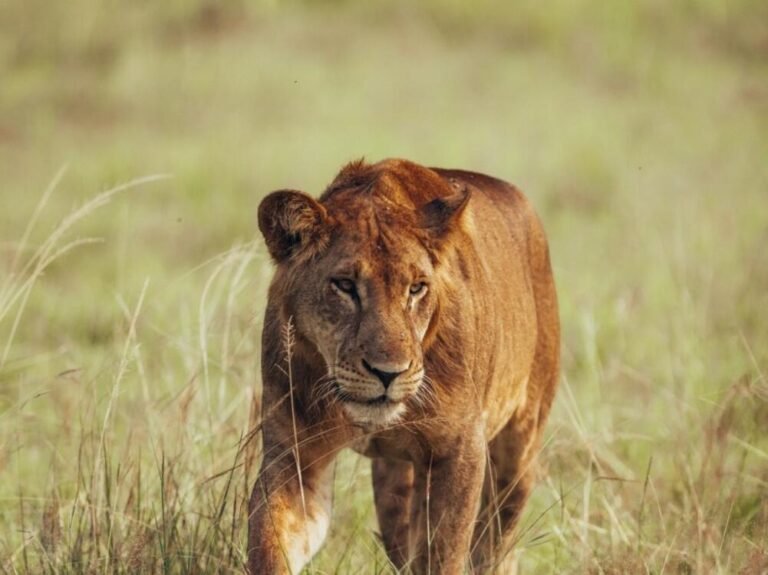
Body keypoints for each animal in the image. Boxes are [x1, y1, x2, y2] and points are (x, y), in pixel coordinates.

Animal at [248, 158, 559, 574]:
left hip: (519, 449)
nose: (387, 373)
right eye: (344, 285)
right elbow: (269, 544)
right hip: (395, 489)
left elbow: (445, 554)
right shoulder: (294, 453)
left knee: (495, 542)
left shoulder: (460, 450)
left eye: (416, 288)